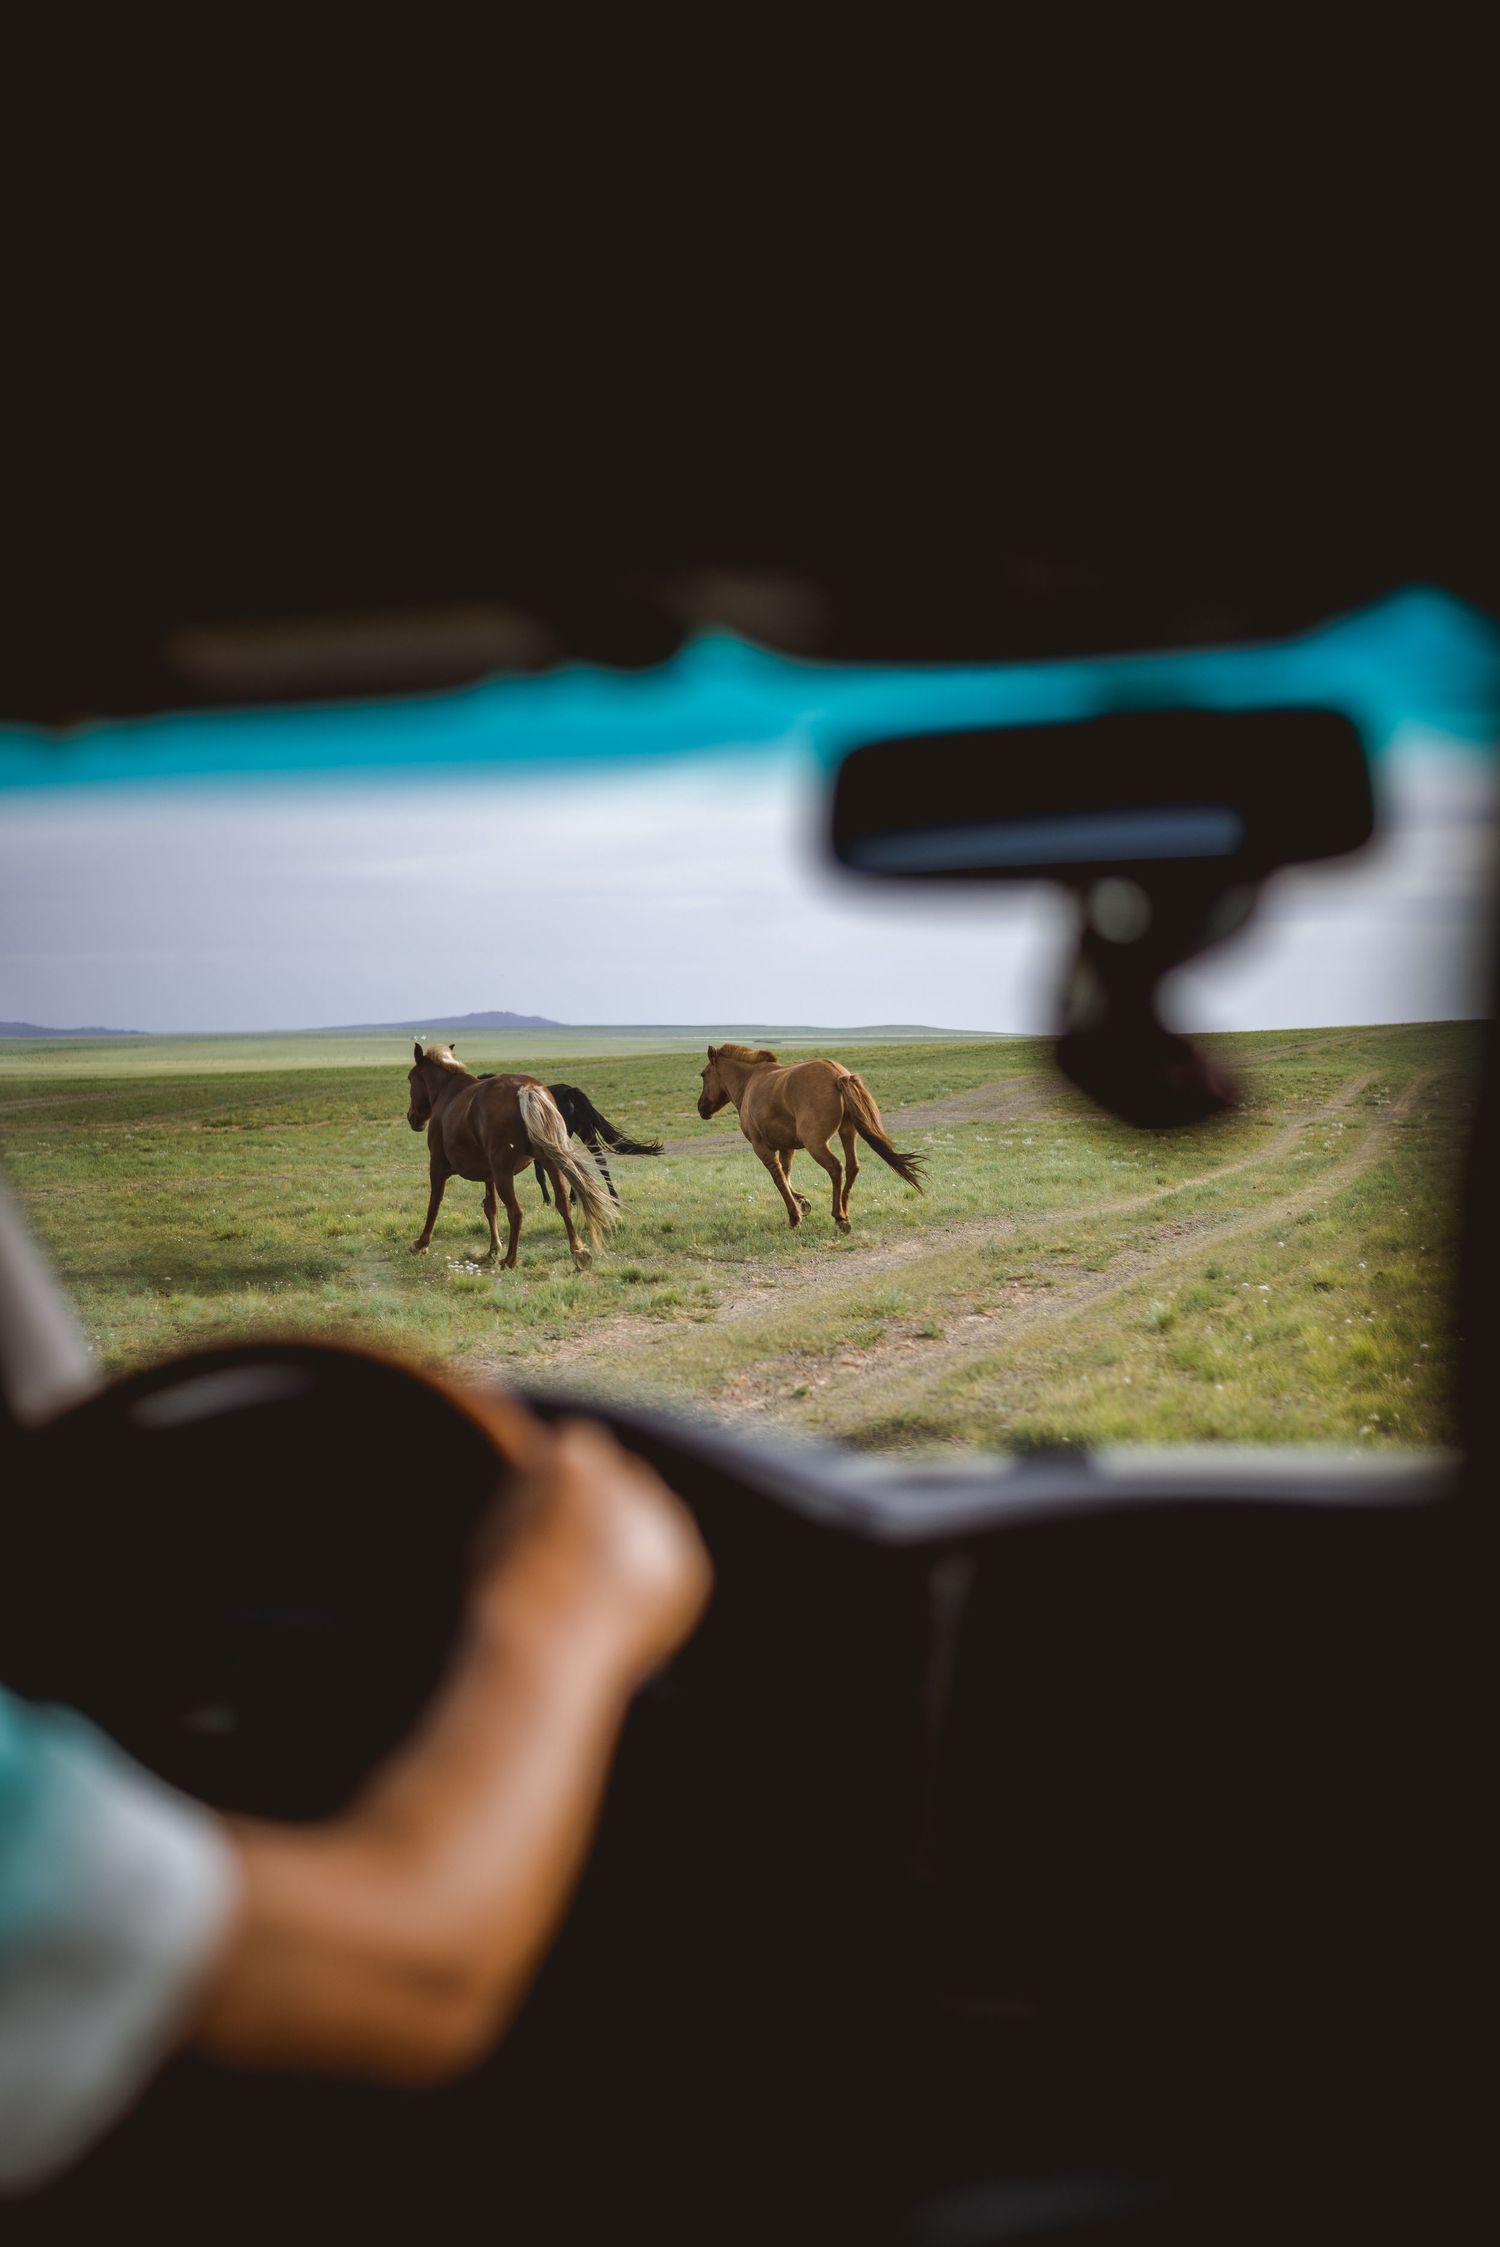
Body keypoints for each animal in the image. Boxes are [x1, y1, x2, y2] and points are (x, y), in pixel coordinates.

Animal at [405, 1042, 617, 1269]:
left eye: (410, 1078)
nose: (412, 1117)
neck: (447, 1093)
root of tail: (527, 1090)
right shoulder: (488, 1176)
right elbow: (490, 1207)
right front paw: (492, 1248)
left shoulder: (437, 1166)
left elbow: (434, 1205)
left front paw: (421, 1244)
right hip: (550, 1163)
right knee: (562, 1203)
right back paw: (578, 1250)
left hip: (504, 1174)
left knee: (516, 1212)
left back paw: (510, 1259)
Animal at [695, 1044, 925, 1232]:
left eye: (704, 1074)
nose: (701, 1108)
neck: (750, 1082)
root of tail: (838, 1076)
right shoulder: (786, 1147)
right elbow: (786, 1175)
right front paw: (802, 1202)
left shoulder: (762, 1148)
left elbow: (778, 1179)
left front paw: (794, 1216)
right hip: (847, 1133)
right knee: (852, 1167)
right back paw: (844, 1211)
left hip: (815, 1144)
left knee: (835, 1168)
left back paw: (839, 1216)